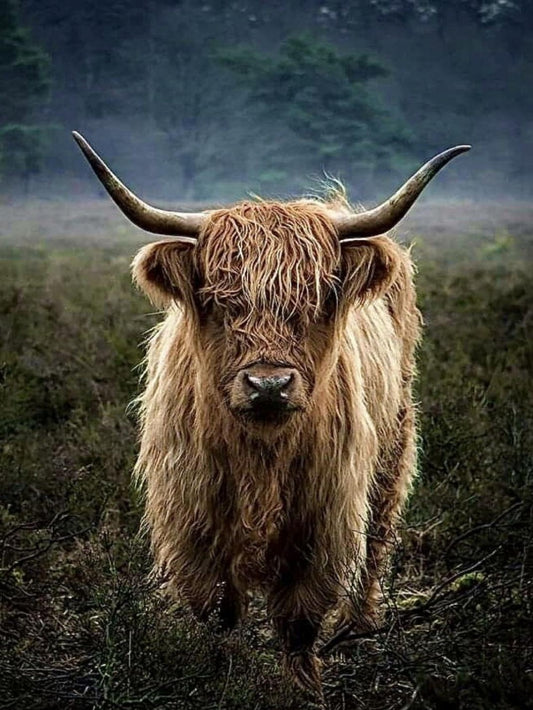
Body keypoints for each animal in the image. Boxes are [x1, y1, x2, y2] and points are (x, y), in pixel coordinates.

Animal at [73, 132, 469, 692]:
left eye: (318, 299)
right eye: (219, 301)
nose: (268, 385)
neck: (260, 457)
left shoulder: (323, 519)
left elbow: (300, 619)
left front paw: (304, 688)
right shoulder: (194, 519)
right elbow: (216, 611)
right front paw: (218, 673)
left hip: (394, 444)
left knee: (378, 538)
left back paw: (361, 626)